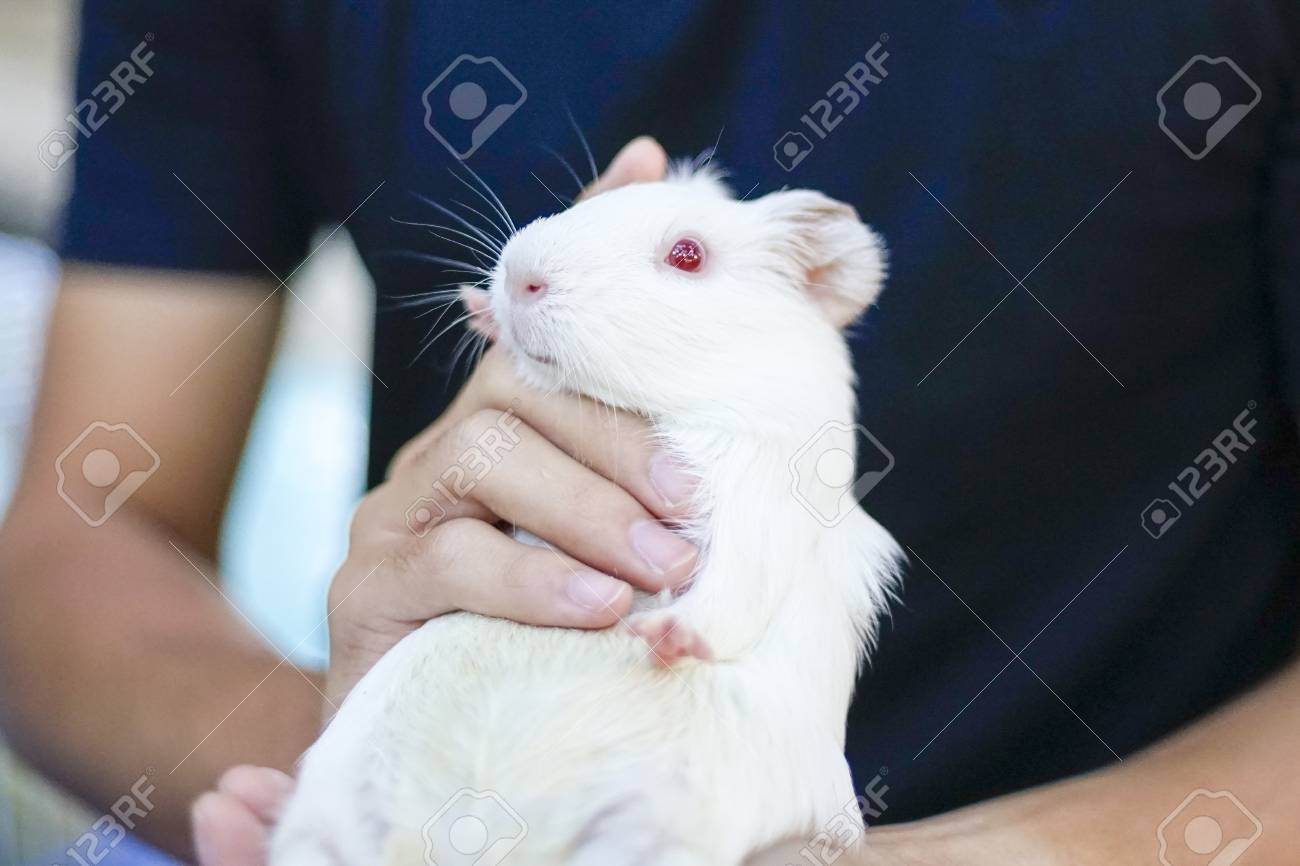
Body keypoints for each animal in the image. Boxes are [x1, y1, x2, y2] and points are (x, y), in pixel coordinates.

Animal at [268, 162, 902, 866]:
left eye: (689, 254)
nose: (521, 273)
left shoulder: (760, 497)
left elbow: (732, 595)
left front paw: (661, 636)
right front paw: (475, 304)